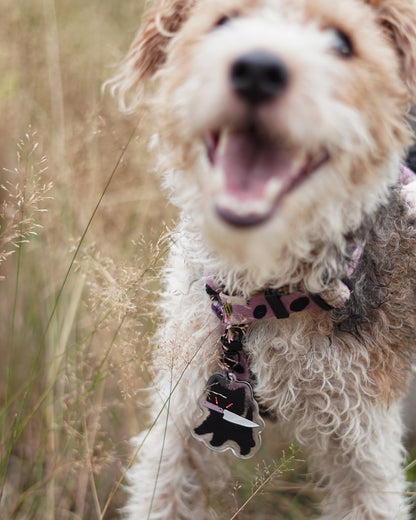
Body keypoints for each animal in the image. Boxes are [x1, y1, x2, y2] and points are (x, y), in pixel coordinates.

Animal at [108, 0, 416, 516]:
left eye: (341, 43)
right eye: (223, 22)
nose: (257, 70)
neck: (268, 301)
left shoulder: (366, 452)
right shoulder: (181, 415)